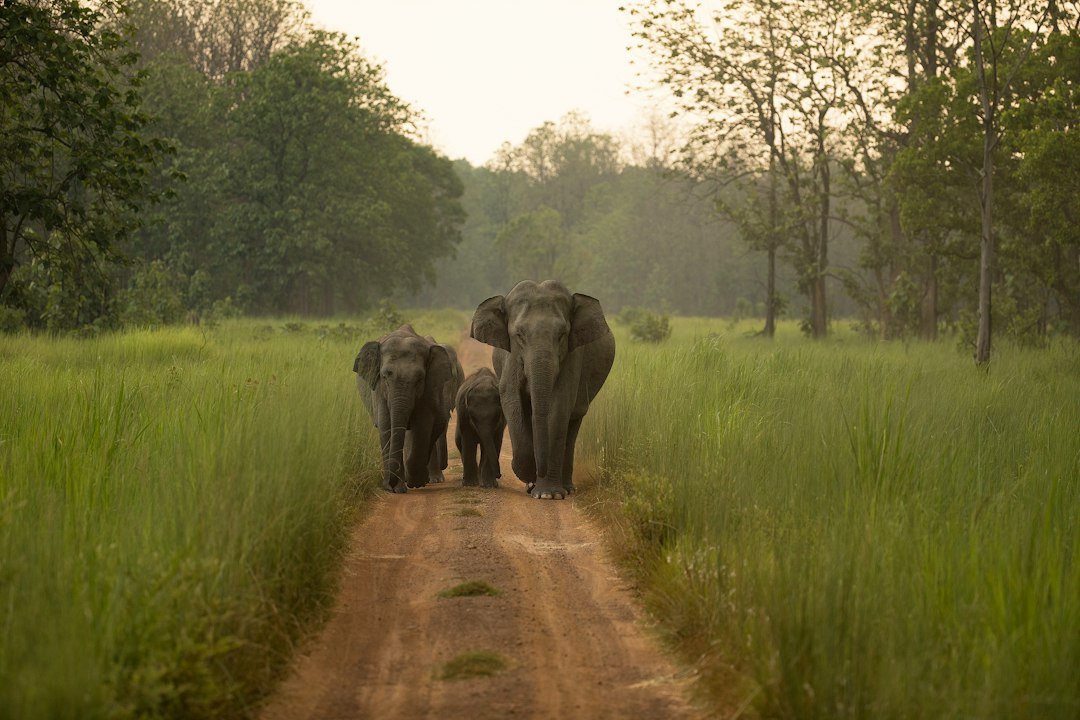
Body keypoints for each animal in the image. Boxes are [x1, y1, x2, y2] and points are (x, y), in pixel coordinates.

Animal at [353, 324, 456, 493]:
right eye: (385, 376)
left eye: (420, 378)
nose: (390, 484)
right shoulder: (379, 391)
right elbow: (386, 426)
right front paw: (396, 489)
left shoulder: (428, 389)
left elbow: (422, 426)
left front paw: (416, 482)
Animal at [470, 280, 615, 499]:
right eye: (519, 335)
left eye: (562, 335)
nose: (537, 472)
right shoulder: (512, 356)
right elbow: (511, 400)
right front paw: (531, 477)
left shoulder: (572, 356)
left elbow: (558, 407)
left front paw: (548, 494)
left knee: (573, 422)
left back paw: (566, 488)